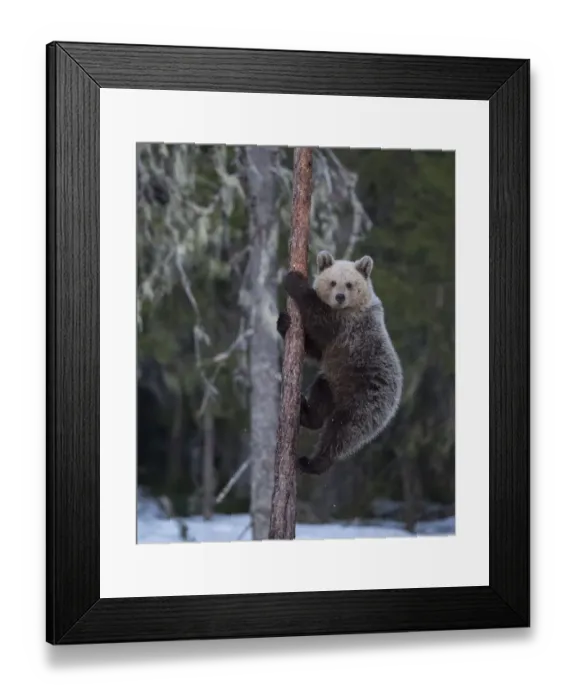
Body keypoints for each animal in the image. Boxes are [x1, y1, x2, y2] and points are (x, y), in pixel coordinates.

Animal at [277, 250, 403, 476]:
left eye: (350, 284)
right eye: (333, 282)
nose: (340, 297)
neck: (350, 307)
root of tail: (395, 402)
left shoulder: (349, 327)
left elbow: (320, 320)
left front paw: (294, 280)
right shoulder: (334, 342)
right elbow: (316, 349)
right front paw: (283, 322)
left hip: (366, 399)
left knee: (341, 432)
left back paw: (313, 463)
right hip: (335, 381)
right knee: (321, 392)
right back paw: (307, 412)